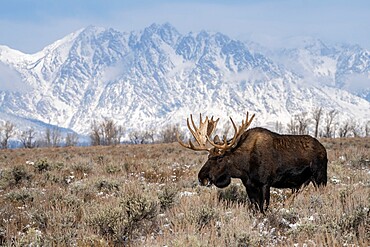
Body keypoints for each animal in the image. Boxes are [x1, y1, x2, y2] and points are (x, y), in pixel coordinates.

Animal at [178, 113, 328, 213]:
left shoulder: (265, 183)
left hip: (320, 178)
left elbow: (263, 207)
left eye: (219, 158)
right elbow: (255, 207)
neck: (244, 167)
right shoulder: (249, 185)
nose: (201, 177)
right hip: (302, 183)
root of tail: (324, 149)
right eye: (208, 156)